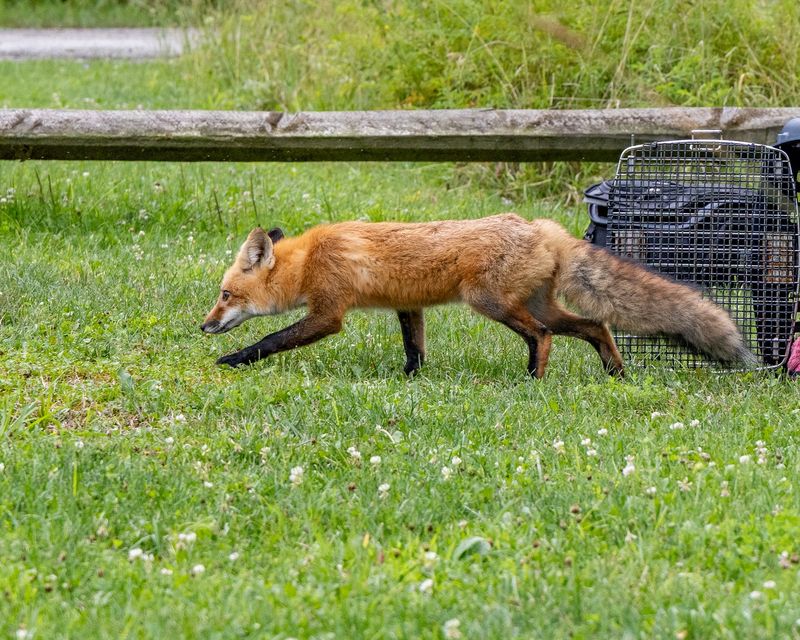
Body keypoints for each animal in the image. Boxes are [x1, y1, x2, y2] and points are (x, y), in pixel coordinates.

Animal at [200, 214, 756, 378]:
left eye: (225, 295)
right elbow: (415, 349)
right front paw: (410, 381)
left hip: (491, 303)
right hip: (537, 302)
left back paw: (532, 380)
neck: (310, 259)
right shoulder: (408, 305)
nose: (203, 326)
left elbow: (271, 339)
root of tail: (543, 227)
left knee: (543, 336)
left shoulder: (329, 313)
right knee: (595, 325)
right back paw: (615, 374)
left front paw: (233, 359)